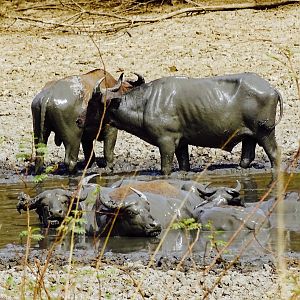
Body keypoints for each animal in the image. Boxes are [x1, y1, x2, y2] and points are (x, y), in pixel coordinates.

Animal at [95, 72, 282, 175]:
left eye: (95, 104)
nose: (83, 120)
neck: (147, 103)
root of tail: (271, 89)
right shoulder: (181, 143)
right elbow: (184, 163)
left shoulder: (166, 142)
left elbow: (165, 168)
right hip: (250, 135)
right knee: (247, 154)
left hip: (265, 132)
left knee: (274, 153)